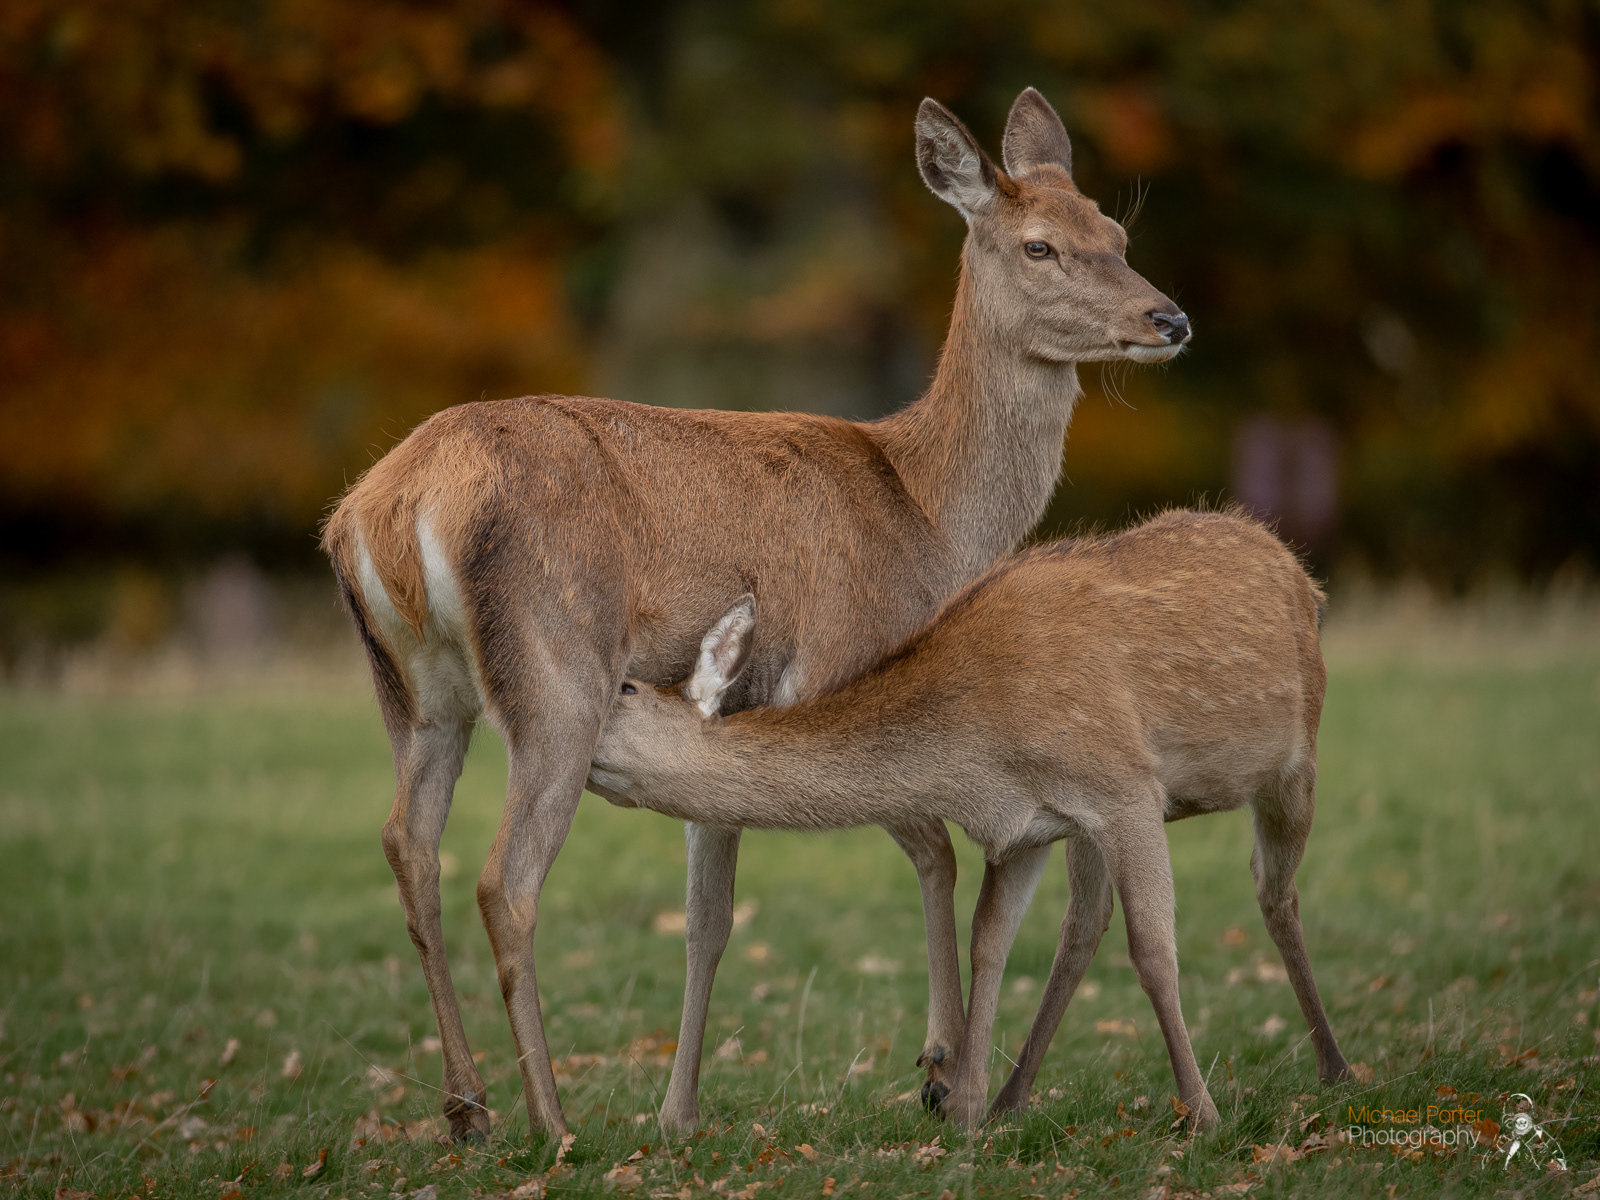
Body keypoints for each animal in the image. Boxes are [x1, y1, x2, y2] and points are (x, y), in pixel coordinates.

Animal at [320, 87, 1191, 1141]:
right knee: (506, 877)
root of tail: (390, 509)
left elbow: (710, 913)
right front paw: (939, 1068)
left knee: (410, 846)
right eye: (1039, 246)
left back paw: (470, 1107)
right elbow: (932, 848)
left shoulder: (727, 707)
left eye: (1118, 231)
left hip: (418, 690)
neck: (930, 518)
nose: (1169, 316)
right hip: (555, 663)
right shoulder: (838, 662)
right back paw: (552, 1120)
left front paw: (679, 1111)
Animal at [588, 510, 1354, 1130]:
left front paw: (1203, 1113)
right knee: (1085, 922)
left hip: (1299, 759)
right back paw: (1015, 1098)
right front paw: (965, 1109)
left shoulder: (1126, 785)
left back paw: (1336, 1068)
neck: (975, 753)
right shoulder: (1027, 827)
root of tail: (1298, 570)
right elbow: (991, 941)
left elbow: (1155, 951)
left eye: (625, 685)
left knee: (1273, 890)